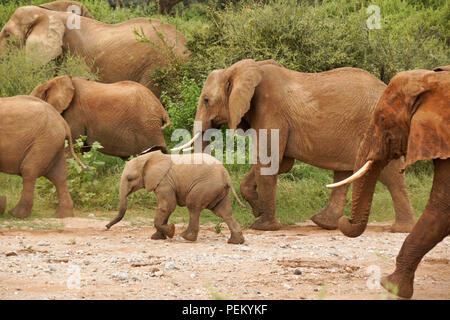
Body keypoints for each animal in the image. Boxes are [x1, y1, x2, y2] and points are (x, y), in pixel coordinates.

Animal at [106, 151, 246, 244]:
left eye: (130, 179)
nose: (107, 227)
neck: (148, 158)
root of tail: (226, 174)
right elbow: (166, 208)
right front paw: (157, 237)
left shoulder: (164, 182)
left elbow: (167, 206)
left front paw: (171, 231)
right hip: (218, 190)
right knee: (223, 212)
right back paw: (236, 241)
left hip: (206, 186)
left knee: (193, 206)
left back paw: (186, 237)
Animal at [181, 58, 416, 231]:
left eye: (206, 100)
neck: (244, 69)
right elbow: (280, 163)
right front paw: (258, 211)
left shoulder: (271, 110)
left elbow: (270, 161)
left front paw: (263, 226)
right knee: (343, 173)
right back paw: (324, 223)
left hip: (379, 129)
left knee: (390, 174)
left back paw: (401, 229)